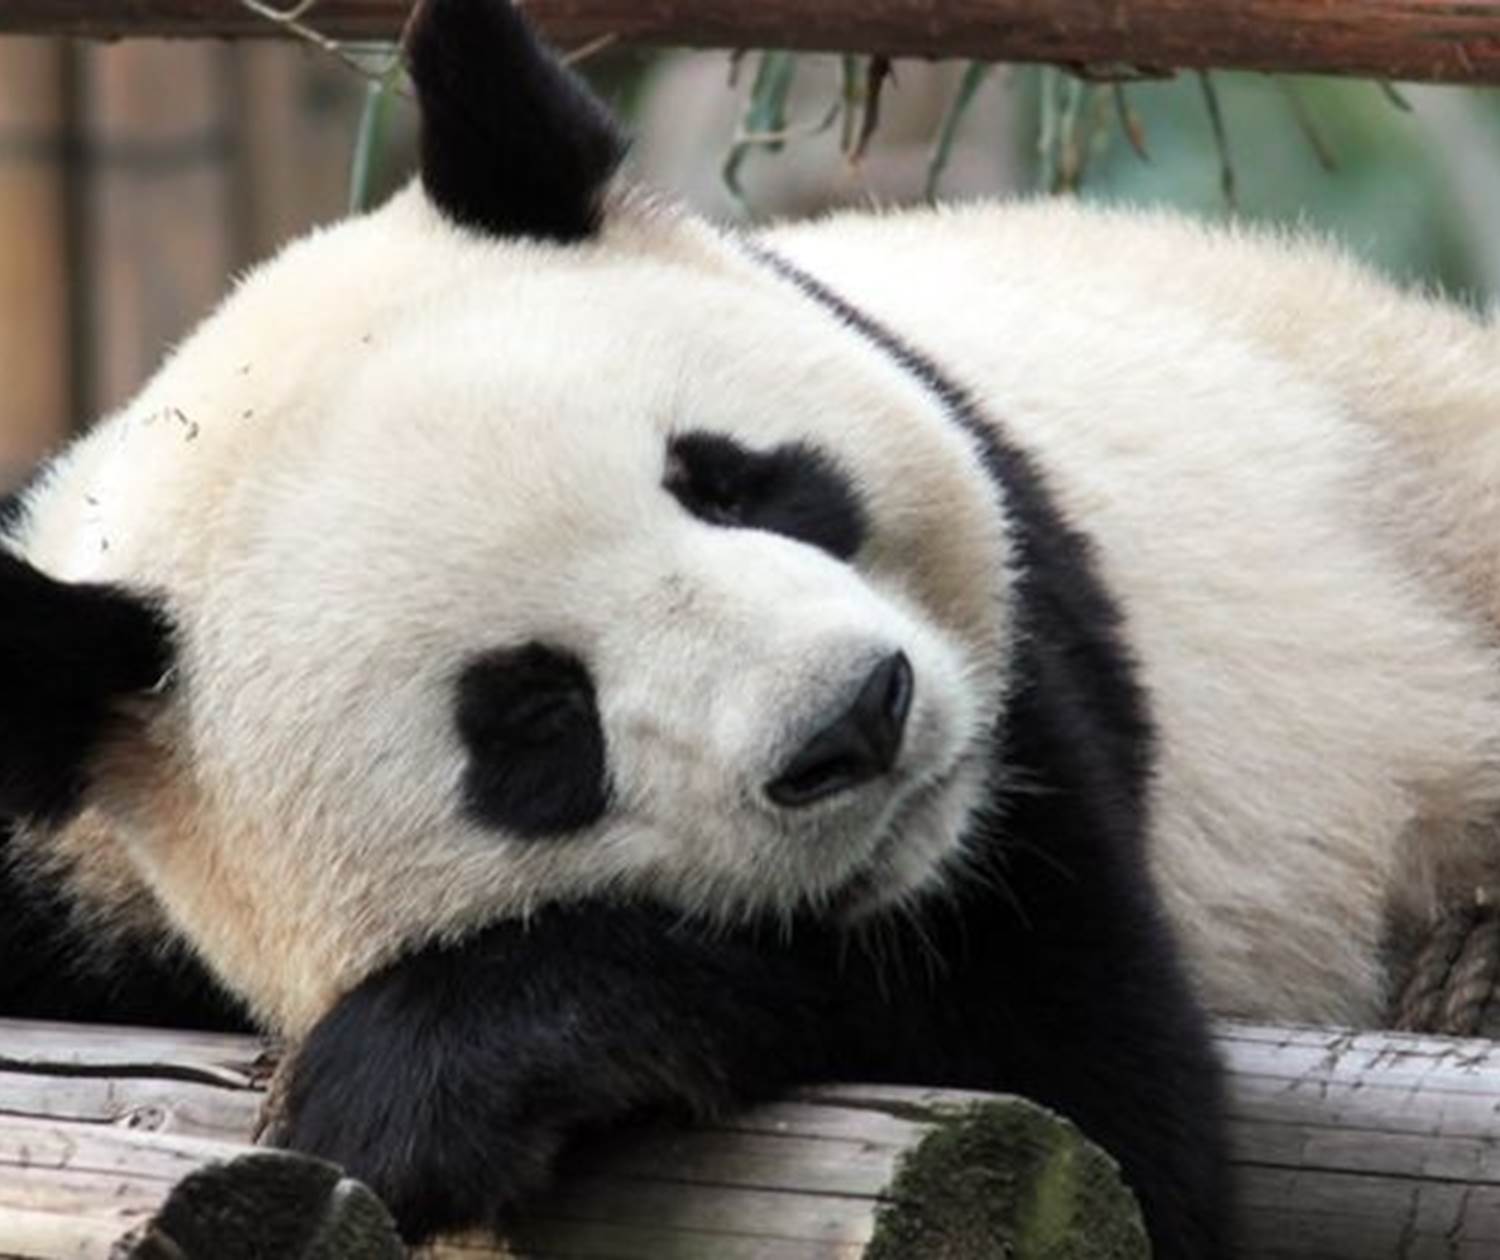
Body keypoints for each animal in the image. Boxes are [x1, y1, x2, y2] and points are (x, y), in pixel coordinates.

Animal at [7, 0, 1500, 1253]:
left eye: (729, 479)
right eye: (537, 718)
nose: (857, 719)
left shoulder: (1035, 738)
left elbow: (1099, 1099)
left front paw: (418, 1085)